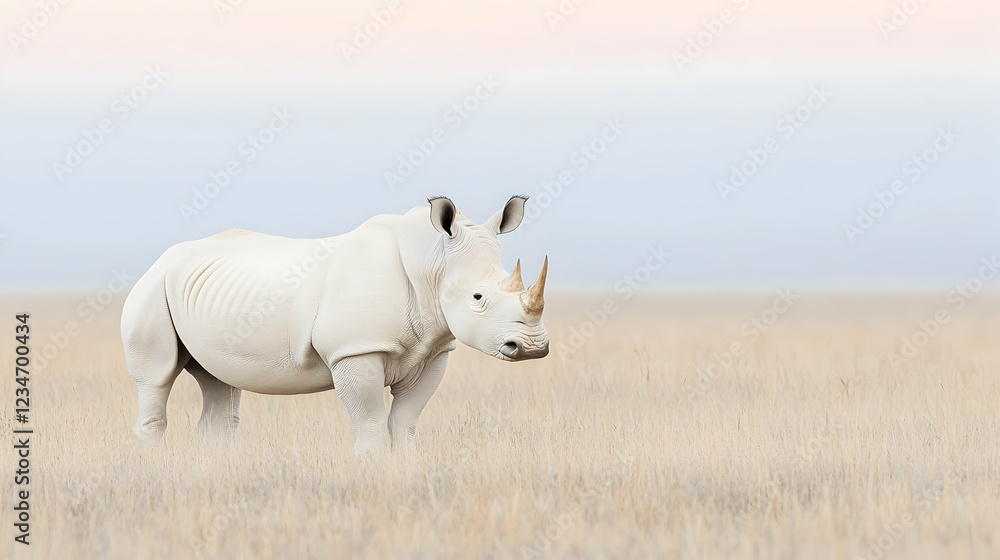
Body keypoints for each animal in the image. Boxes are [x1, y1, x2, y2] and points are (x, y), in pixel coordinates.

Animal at [121, 196, 549, 453]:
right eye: (478, 298)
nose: (532, 348)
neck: (432, 264)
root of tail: (161, 260)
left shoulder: (433, 350)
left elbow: (405, 423)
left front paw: (406, 466)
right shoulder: (355, 350)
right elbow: (370, 424)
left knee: (217, 381)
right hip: (151, 289)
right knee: (157, 377)